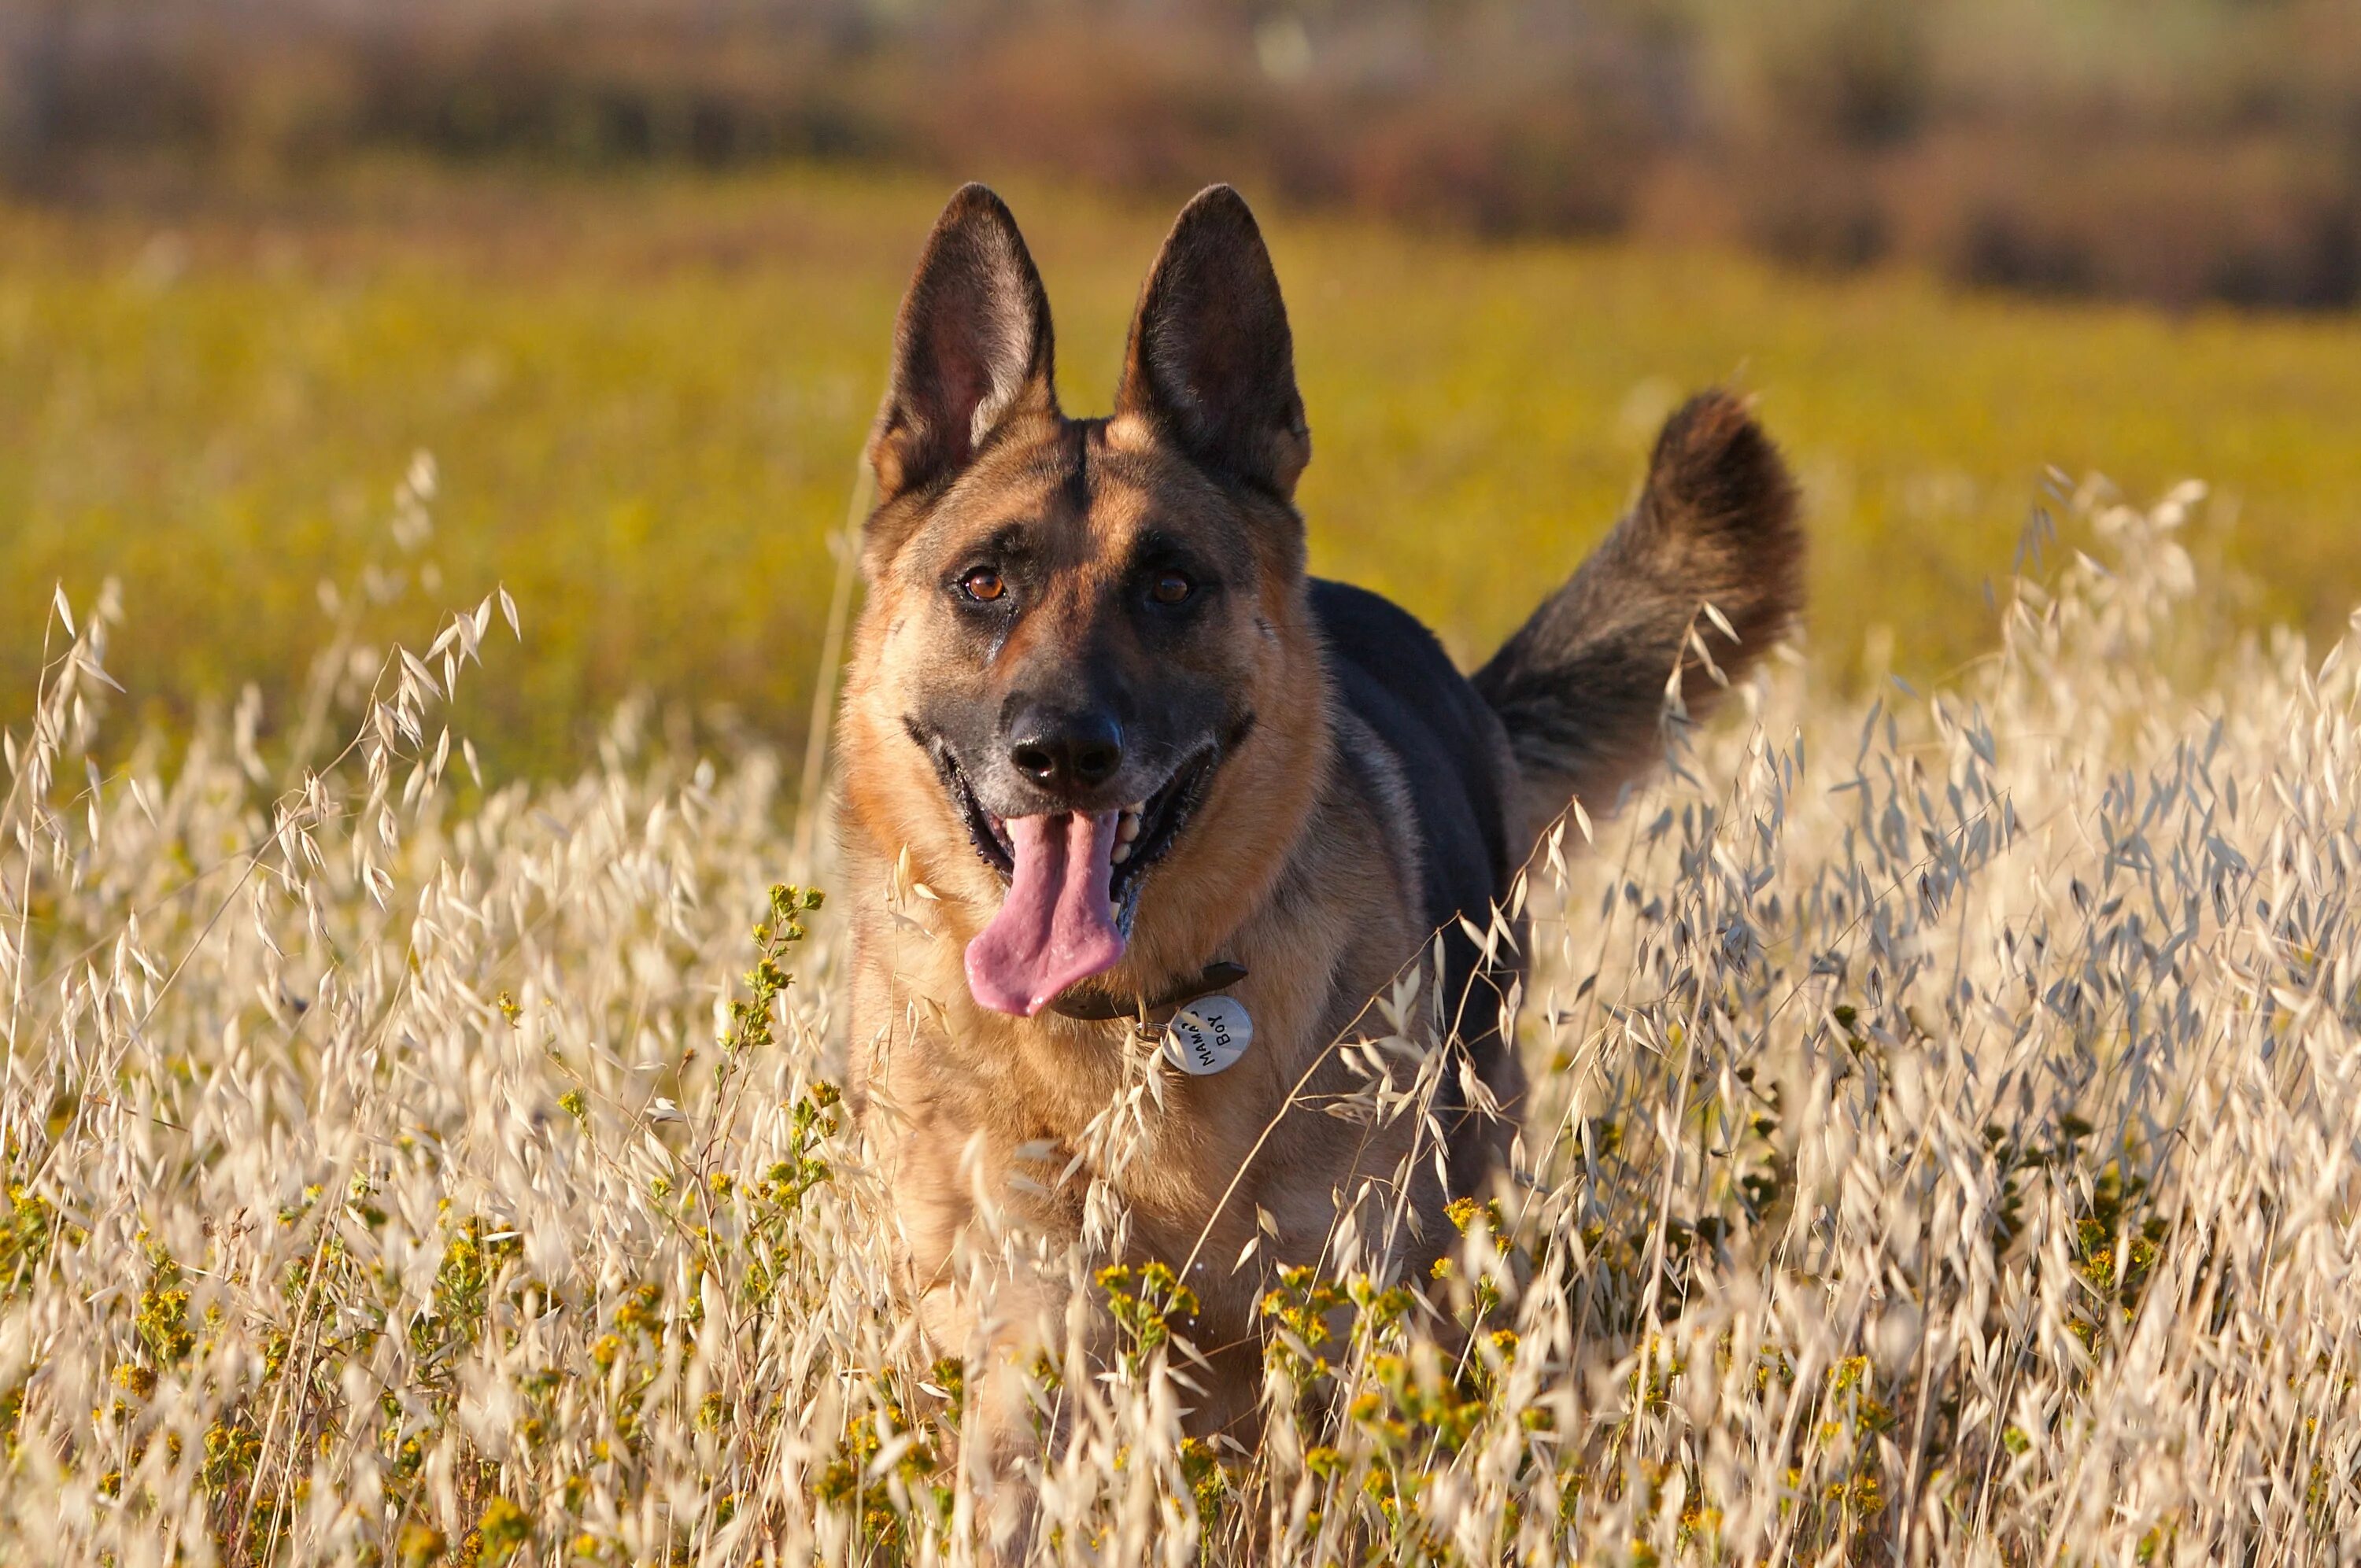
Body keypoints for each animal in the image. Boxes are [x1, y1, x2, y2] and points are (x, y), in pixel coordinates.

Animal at [841, 180, 1794, 1529]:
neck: (1134, 1021)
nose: (1064, 753)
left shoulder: (1338, 1304)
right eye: (983, 584)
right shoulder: (1030, 1302)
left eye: (1171, 585)